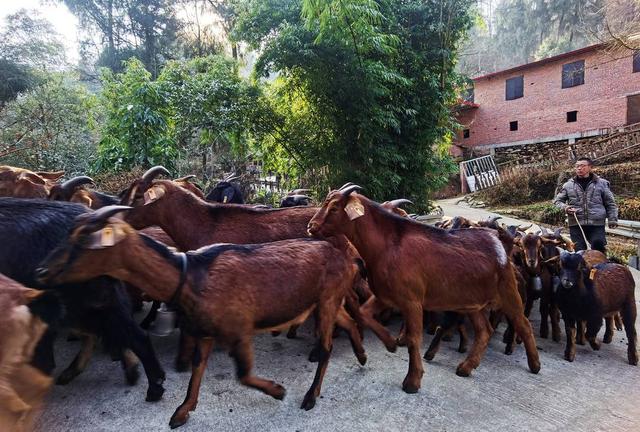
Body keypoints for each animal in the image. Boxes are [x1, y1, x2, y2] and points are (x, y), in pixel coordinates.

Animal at [37, 207, 368, 428]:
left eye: (83, 239)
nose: (41, 271)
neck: (190, 275)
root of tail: (347, 257)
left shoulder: (239, 328)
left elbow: (243, 374)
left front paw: (278, 390)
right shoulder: (207, 331)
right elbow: (197, 369)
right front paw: (181, 412)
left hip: (326, 301)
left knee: (326, 346)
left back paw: (311, 396)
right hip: (326, 301)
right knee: (348, 321)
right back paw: (362, 356)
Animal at [308, 186, 536, 392]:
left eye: (334, 207)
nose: (311, 226)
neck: (388, 246)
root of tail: (501, 248)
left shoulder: (413, 302)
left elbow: (414, 339)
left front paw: (412, 381)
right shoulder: (385, 295)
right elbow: (363, 314)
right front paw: (390, 344)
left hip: (508, 293)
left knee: (523, 324)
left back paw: (535, 365)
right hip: (474, 304)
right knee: (484, 331)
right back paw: (465, 367)